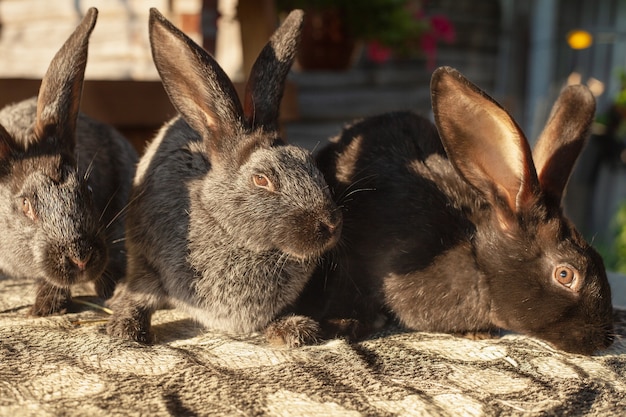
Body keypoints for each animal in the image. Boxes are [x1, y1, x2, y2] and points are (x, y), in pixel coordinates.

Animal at [107, 8, 342, 348]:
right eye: (262, 180)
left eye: (309, 161)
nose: (332, 225)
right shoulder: (148, 264)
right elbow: (141, 297)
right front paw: (125, 328)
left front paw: (294, 329)